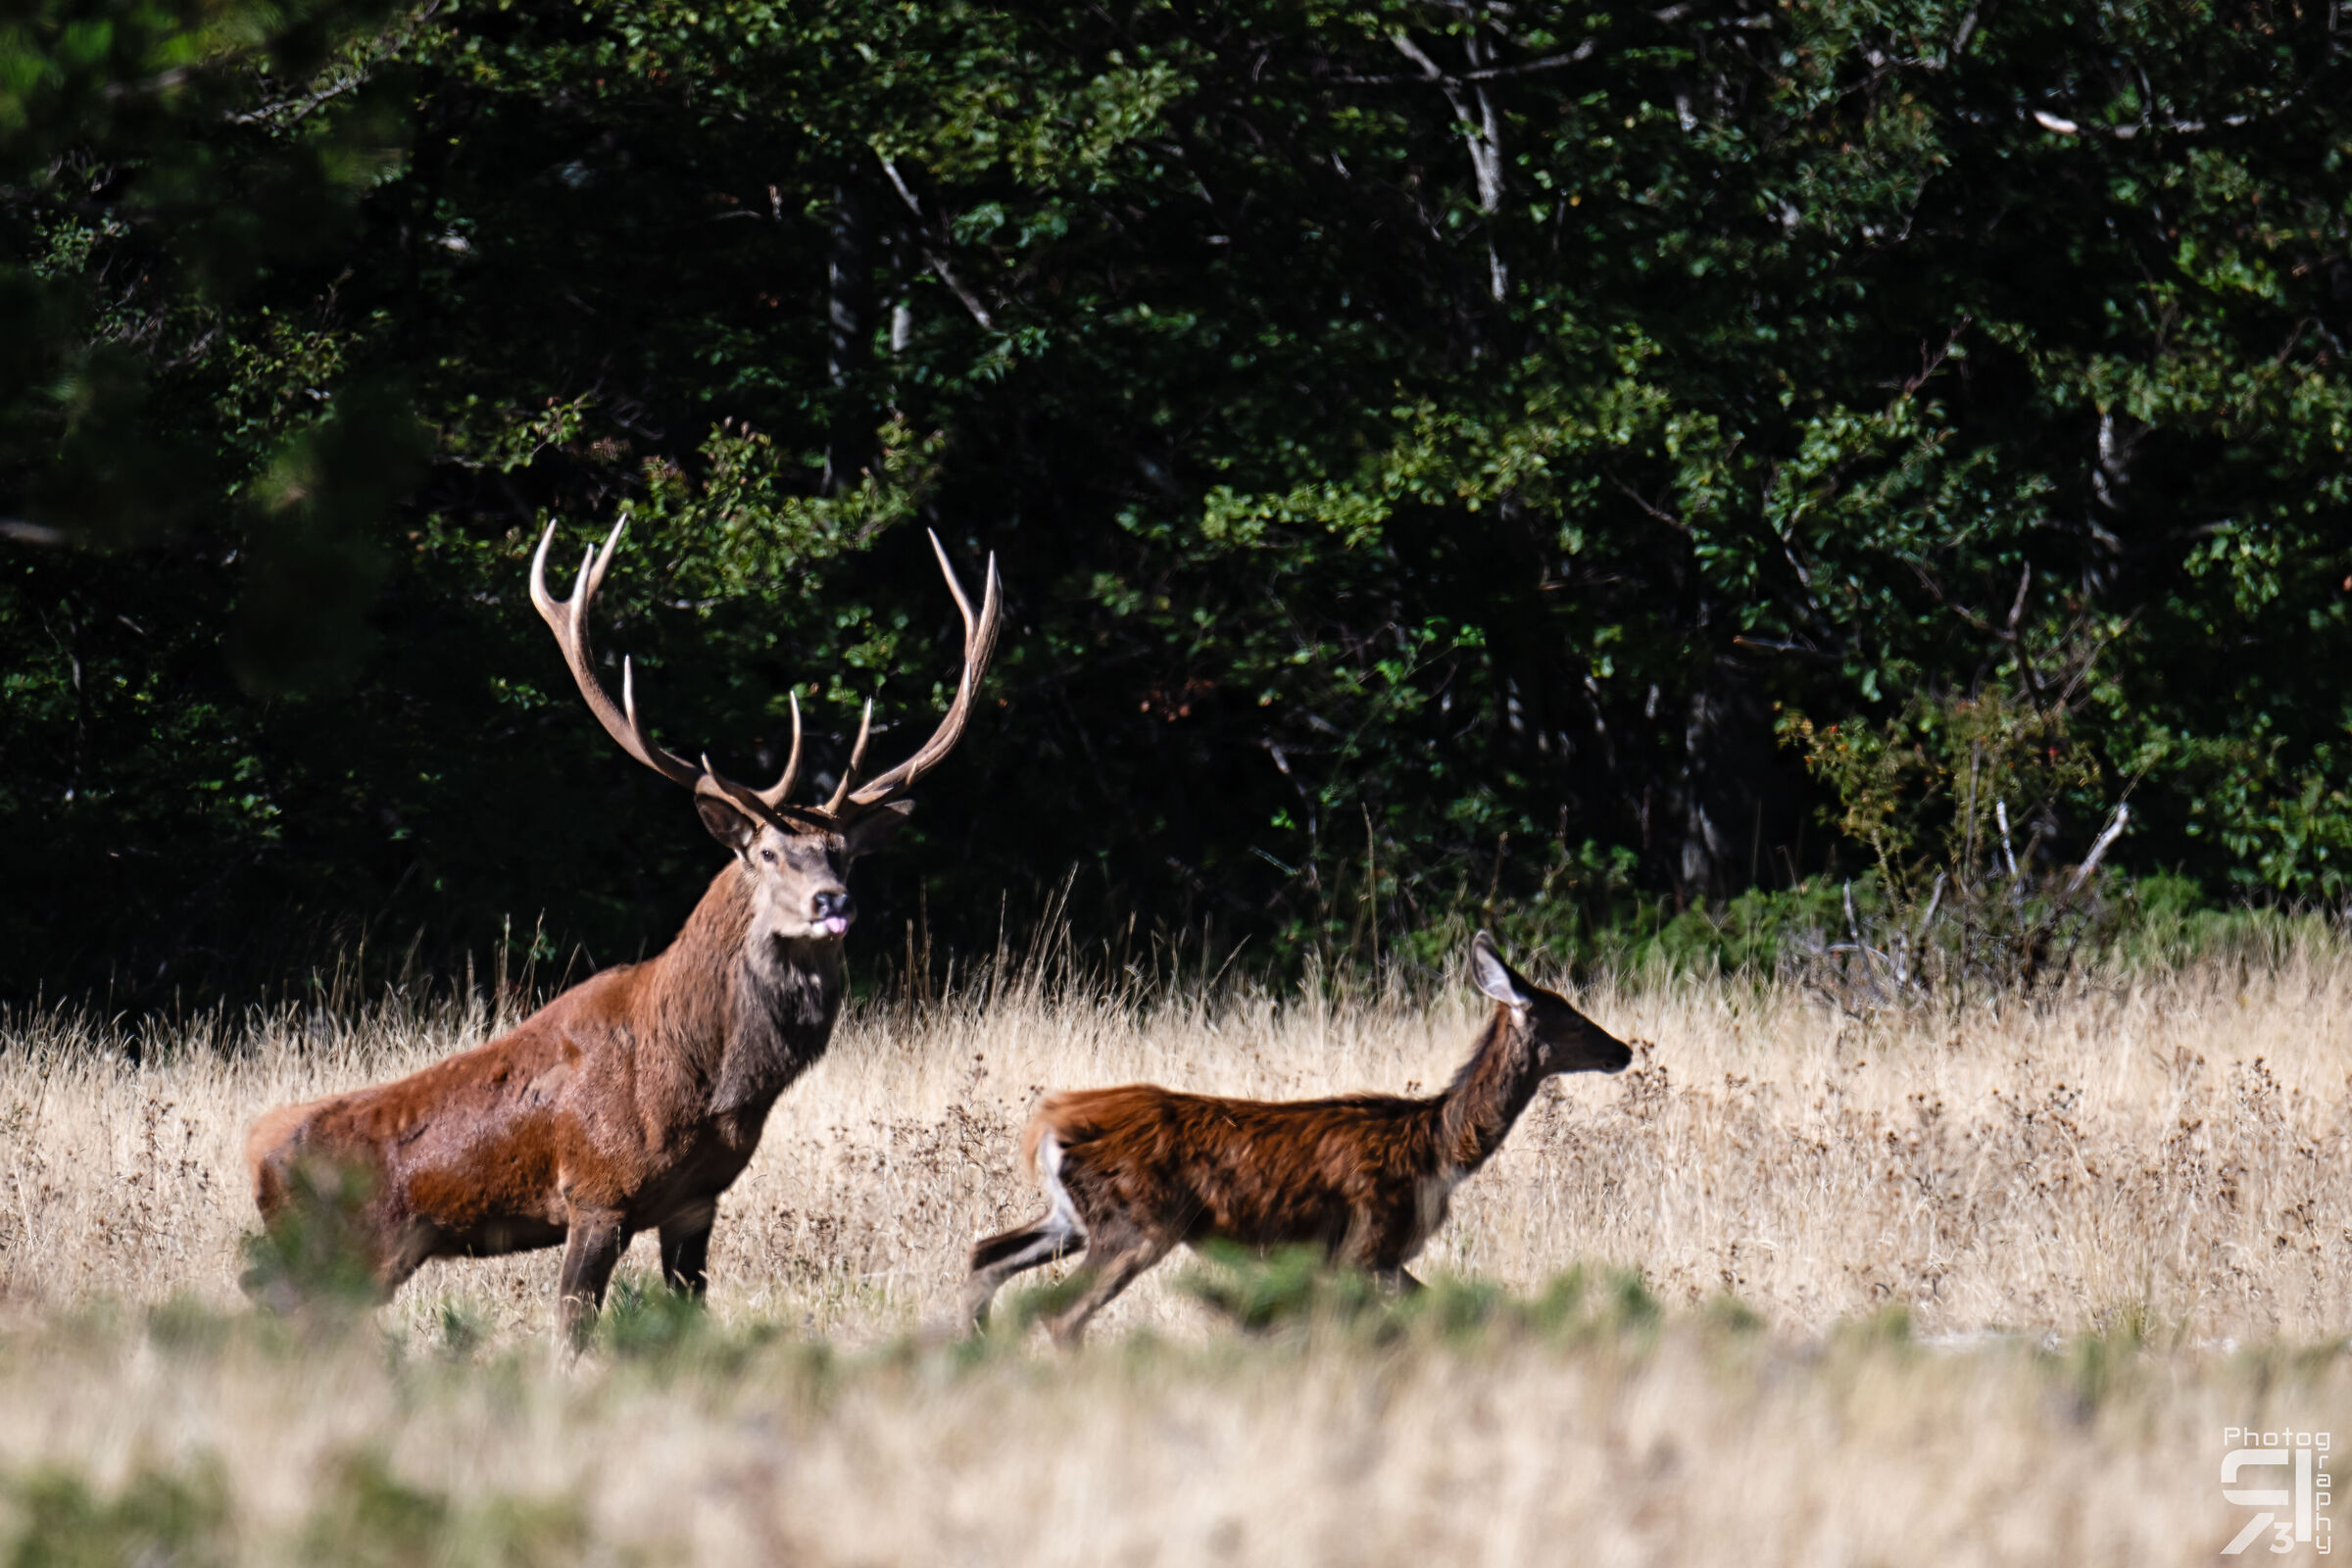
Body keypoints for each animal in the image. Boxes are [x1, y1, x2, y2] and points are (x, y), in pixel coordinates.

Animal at [245, 520, 1000, 1345]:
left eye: (846, 853)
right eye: (769, 853)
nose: (834, 901)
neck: (707, 1084)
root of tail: (254, 1158)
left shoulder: (698, 1201)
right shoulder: (597, 1192)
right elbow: (571, 1333)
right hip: (344, 1249)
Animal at [962, 931, 1633, 1345]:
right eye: (1572, 1017)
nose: (1622, 1050)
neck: (1437, 1147)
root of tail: (1049, 1123)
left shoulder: (1356, 1257)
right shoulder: (1368, 1242)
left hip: (1074, 1219)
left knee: (984, 1255)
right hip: (1137, 1223)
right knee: (1061, 1314)